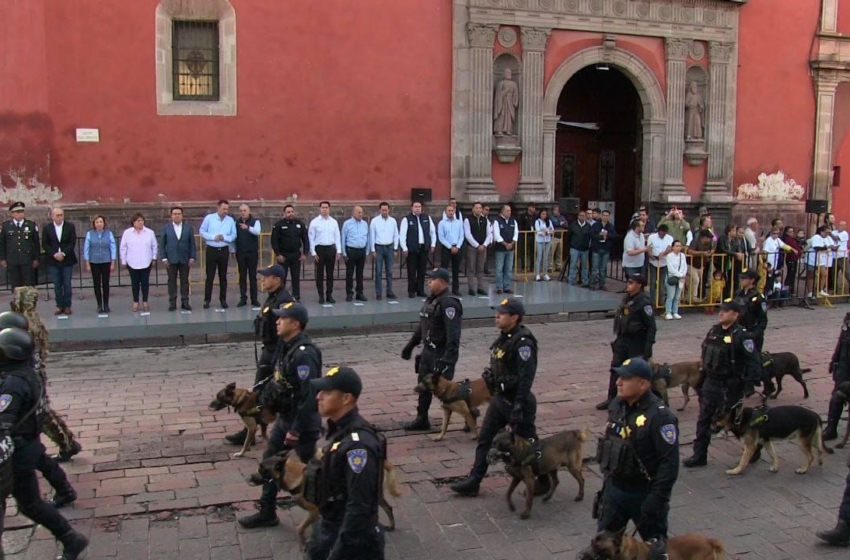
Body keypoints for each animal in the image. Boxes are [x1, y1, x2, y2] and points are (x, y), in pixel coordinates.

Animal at [255, 448, 400, 544]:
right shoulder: (316, 512)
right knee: (388, 508)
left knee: (386, 509)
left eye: (262, 468)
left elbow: (300, 528)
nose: (252, 477)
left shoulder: (314, 511)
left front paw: (304, 541)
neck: (294, 474)